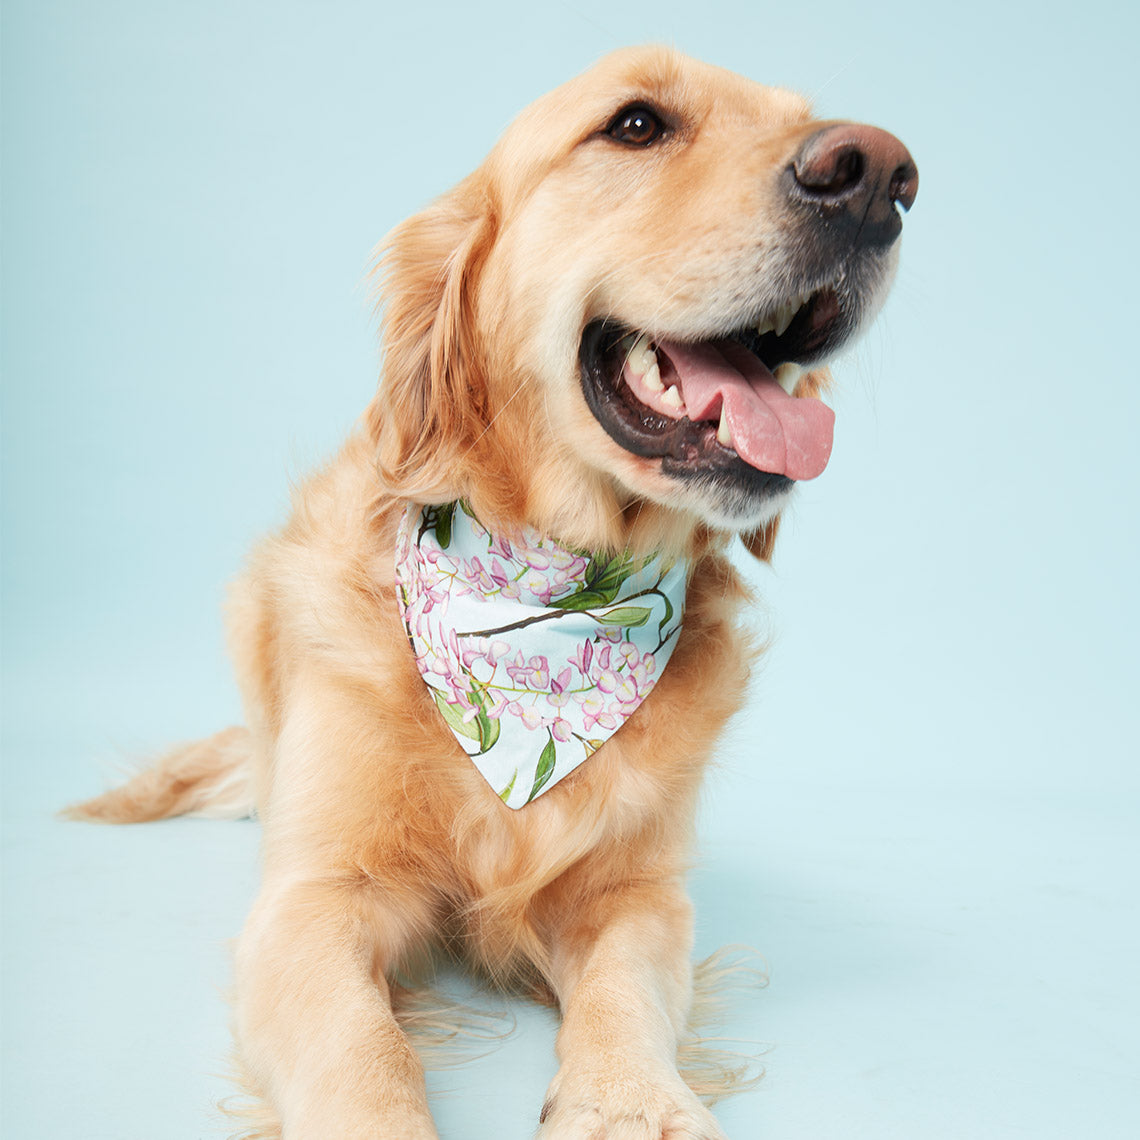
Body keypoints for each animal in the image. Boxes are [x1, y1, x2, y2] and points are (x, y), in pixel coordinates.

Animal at [68, 44, 916, 1140]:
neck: (555, 593)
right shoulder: (312, 899)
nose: (880, 175)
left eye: (809, 118)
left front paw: (630, 1103)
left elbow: (625, 991)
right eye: (635, 124)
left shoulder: (638, 891)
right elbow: (365, 1048)